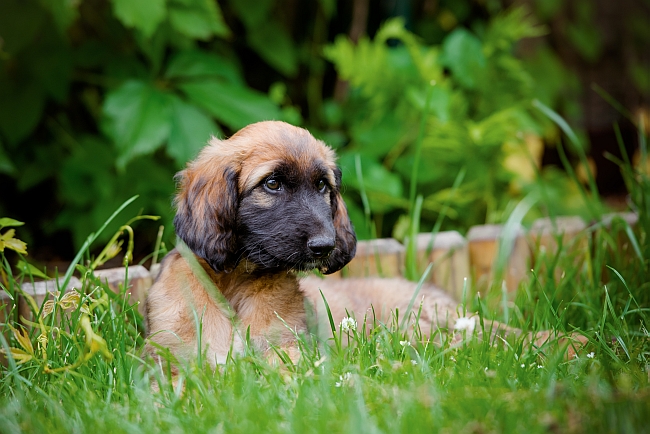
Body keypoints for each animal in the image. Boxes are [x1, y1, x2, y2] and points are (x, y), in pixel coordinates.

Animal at [146, 120, 584, 368]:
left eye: (323, 186)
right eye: (272, 184)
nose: (325, 246)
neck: (234, 283)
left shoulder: (292, 348)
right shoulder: (168, 360)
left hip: (427, 326)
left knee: (494, 338)